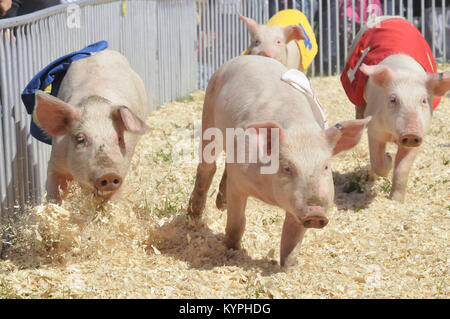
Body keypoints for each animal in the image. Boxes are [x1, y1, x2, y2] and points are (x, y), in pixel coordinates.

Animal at [34, 50, 149, 205]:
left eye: (119, 138)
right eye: (80, 139)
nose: (109, 174)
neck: (96, 106)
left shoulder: (123, 167)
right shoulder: (55, 161)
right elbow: (53, 192)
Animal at [186, 55, 370, 268]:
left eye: (325, 167)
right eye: (287, 167)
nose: (315, 212)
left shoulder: (297, 208)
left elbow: (292, 239)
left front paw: (289, 267)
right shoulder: (239, 183)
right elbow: (236, 223)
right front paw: (231, 251)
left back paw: (219, 205)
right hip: (209, 113)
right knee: (208, 166)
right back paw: (193, 218)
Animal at [342, 16, 450, 202]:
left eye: (423, 100)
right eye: (393, 99)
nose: (411, 133)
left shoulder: (420, 135)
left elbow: (402, 169)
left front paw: (396, 200)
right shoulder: (374, 127)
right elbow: (377, 161)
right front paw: (389, 158)